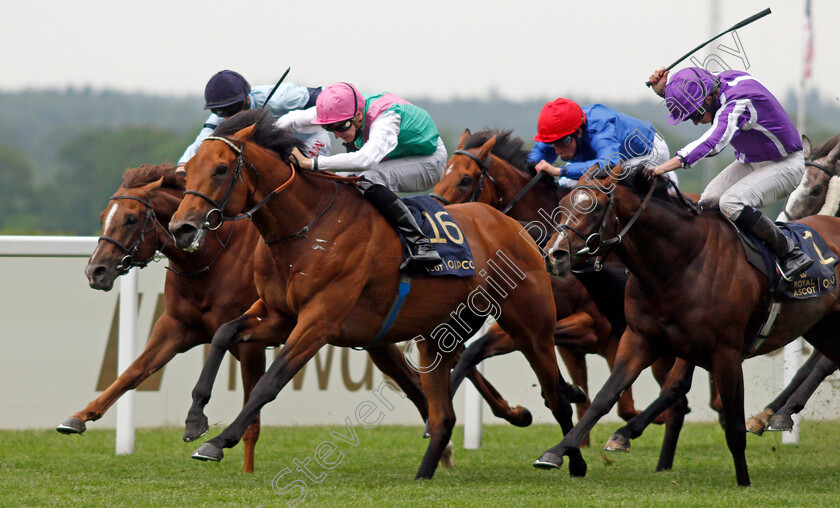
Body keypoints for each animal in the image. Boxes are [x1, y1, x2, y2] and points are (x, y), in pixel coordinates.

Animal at [169, 108, 592, 480]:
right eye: (188, 171)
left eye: (221, 169)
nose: (181, 228)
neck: (307, 226)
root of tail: (517, 228)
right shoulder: (278, 314)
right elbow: (223, 334)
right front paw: (194, 420)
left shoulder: (318, 321)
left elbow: (269, 382)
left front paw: (220, 440)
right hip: (438, 336)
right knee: (444, 414)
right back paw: (424, 474)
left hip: (531, 328)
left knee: (556, 394)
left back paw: (567, 459)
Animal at [536, 166, 840, 484]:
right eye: (563, 204)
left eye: (593, 208)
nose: (554, 255)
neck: (681, 263)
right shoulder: (640, 338)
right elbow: (606, 395)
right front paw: (556, 452)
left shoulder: (726, 353)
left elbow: (733, 424)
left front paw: (744, 481)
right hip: (821, 327)